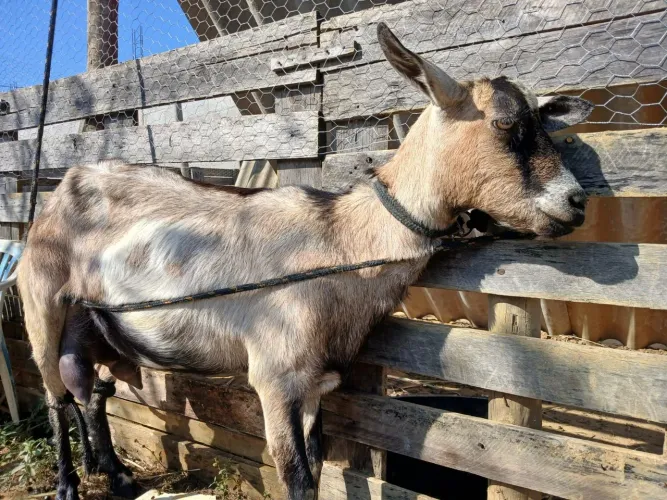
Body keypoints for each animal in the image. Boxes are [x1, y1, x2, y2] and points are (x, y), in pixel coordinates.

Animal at [17, 23, 592, 500]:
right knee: (55, 396)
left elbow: (315, 473)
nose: (576, 202)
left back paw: (115, 477)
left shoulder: (316, 384)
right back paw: (67, 485)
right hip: (41, 307)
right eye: (504, 123)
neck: (342, 239)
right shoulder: (276, 378)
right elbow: (294, 477)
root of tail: (62, 189)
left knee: (92, 392)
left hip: (95, 325)